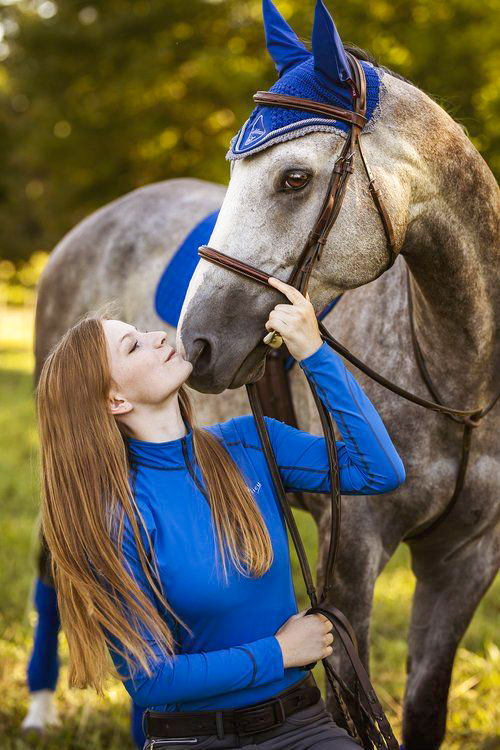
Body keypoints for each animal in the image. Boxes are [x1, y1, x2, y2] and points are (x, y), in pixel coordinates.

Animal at [25, 2, 498, 749]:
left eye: (294, 178)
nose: (197, 344)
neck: (460, 384)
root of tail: (95, 224)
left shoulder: (466, 563)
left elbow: (424, 710)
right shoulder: (350, 556)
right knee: (56, 570)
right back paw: (40, 709)